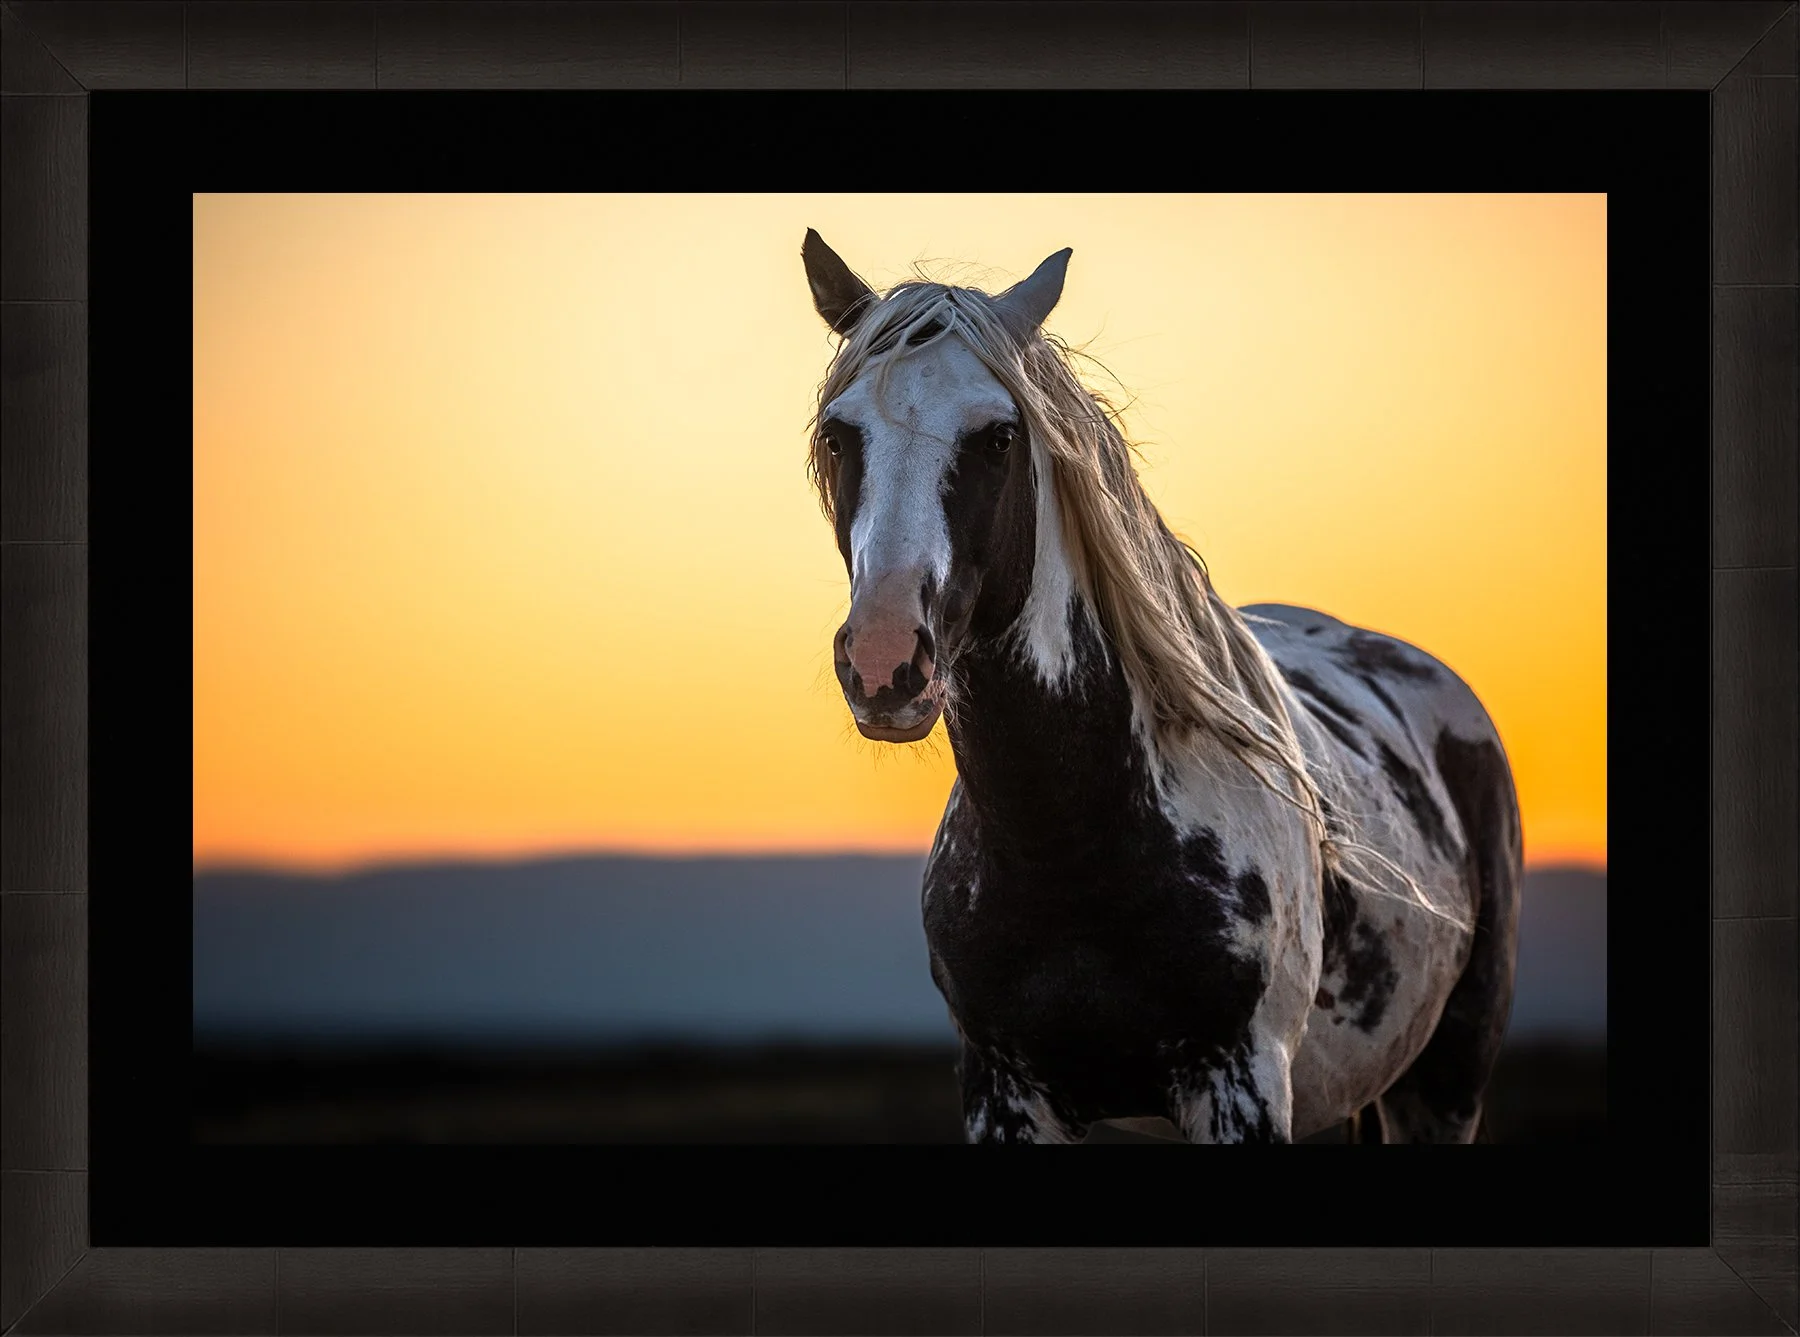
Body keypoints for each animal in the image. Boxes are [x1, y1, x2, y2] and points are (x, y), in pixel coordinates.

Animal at [798, 230, 1522, 1144]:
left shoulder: (1240, 1085)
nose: (887, 658)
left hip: (1446, 1079)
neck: (1070, 841)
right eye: (837, 435)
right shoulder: (1005, 1094)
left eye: (1000, 436)